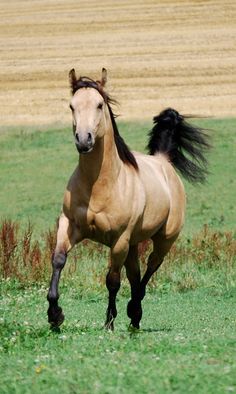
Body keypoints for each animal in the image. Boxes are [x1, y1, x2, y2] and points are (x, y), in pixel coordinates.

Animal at [47, 67, 209, 330]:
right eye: (72, 106)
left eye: (99, 104)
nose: (84, 140)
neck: (100, 185)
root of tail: (163, 161)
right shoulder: (69, 225)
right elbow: (58, 260)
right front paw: (55, 315)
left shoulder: (119, 240)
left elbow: (112, 280)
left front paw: (109, 323)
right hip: (133, 244)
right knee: (135, 275)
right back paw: (134, 316)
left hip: (163, 240)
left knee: (150, 269)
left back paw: (134, 311)